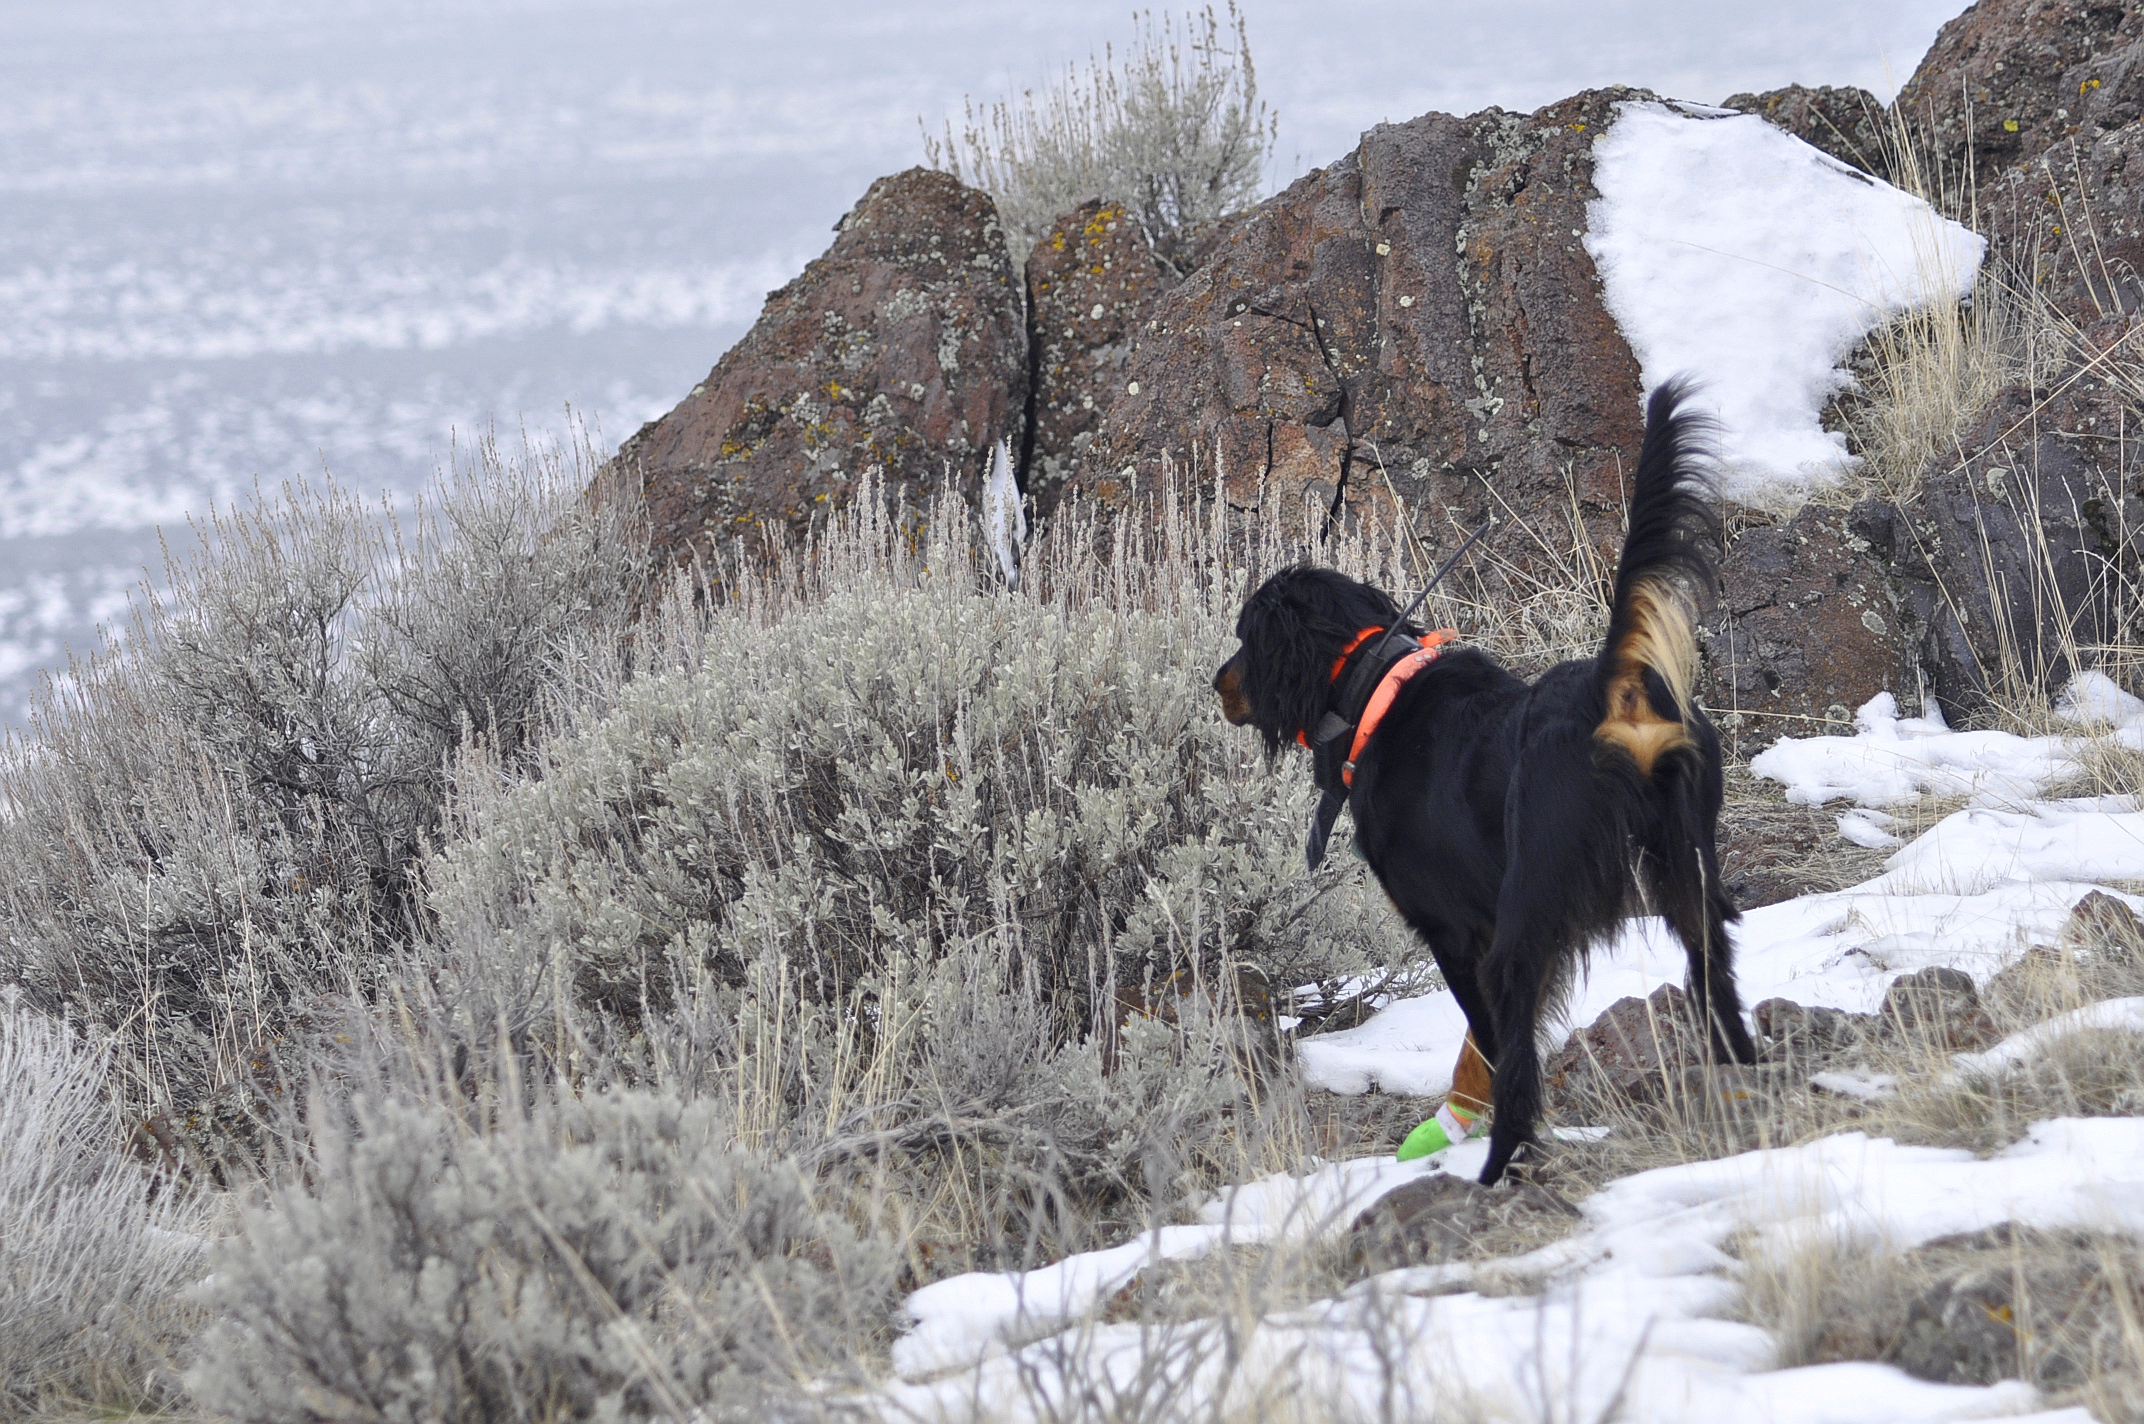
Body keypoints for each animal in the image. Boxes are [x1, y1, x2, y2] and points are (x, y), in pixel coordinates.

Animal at [1212, 381, 1758, 1185]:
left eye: (1247, 639)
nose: (1216, 683)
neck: (1381, 692)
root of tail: (1614, 687)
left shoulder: (1456, 929)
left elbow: (1496, 1043)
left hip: (1530, 911)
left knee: (1520, 1050)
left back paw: (1499, 1167)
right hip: (1686, 869)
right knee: (1715, 974)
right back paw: (1742, 1082)